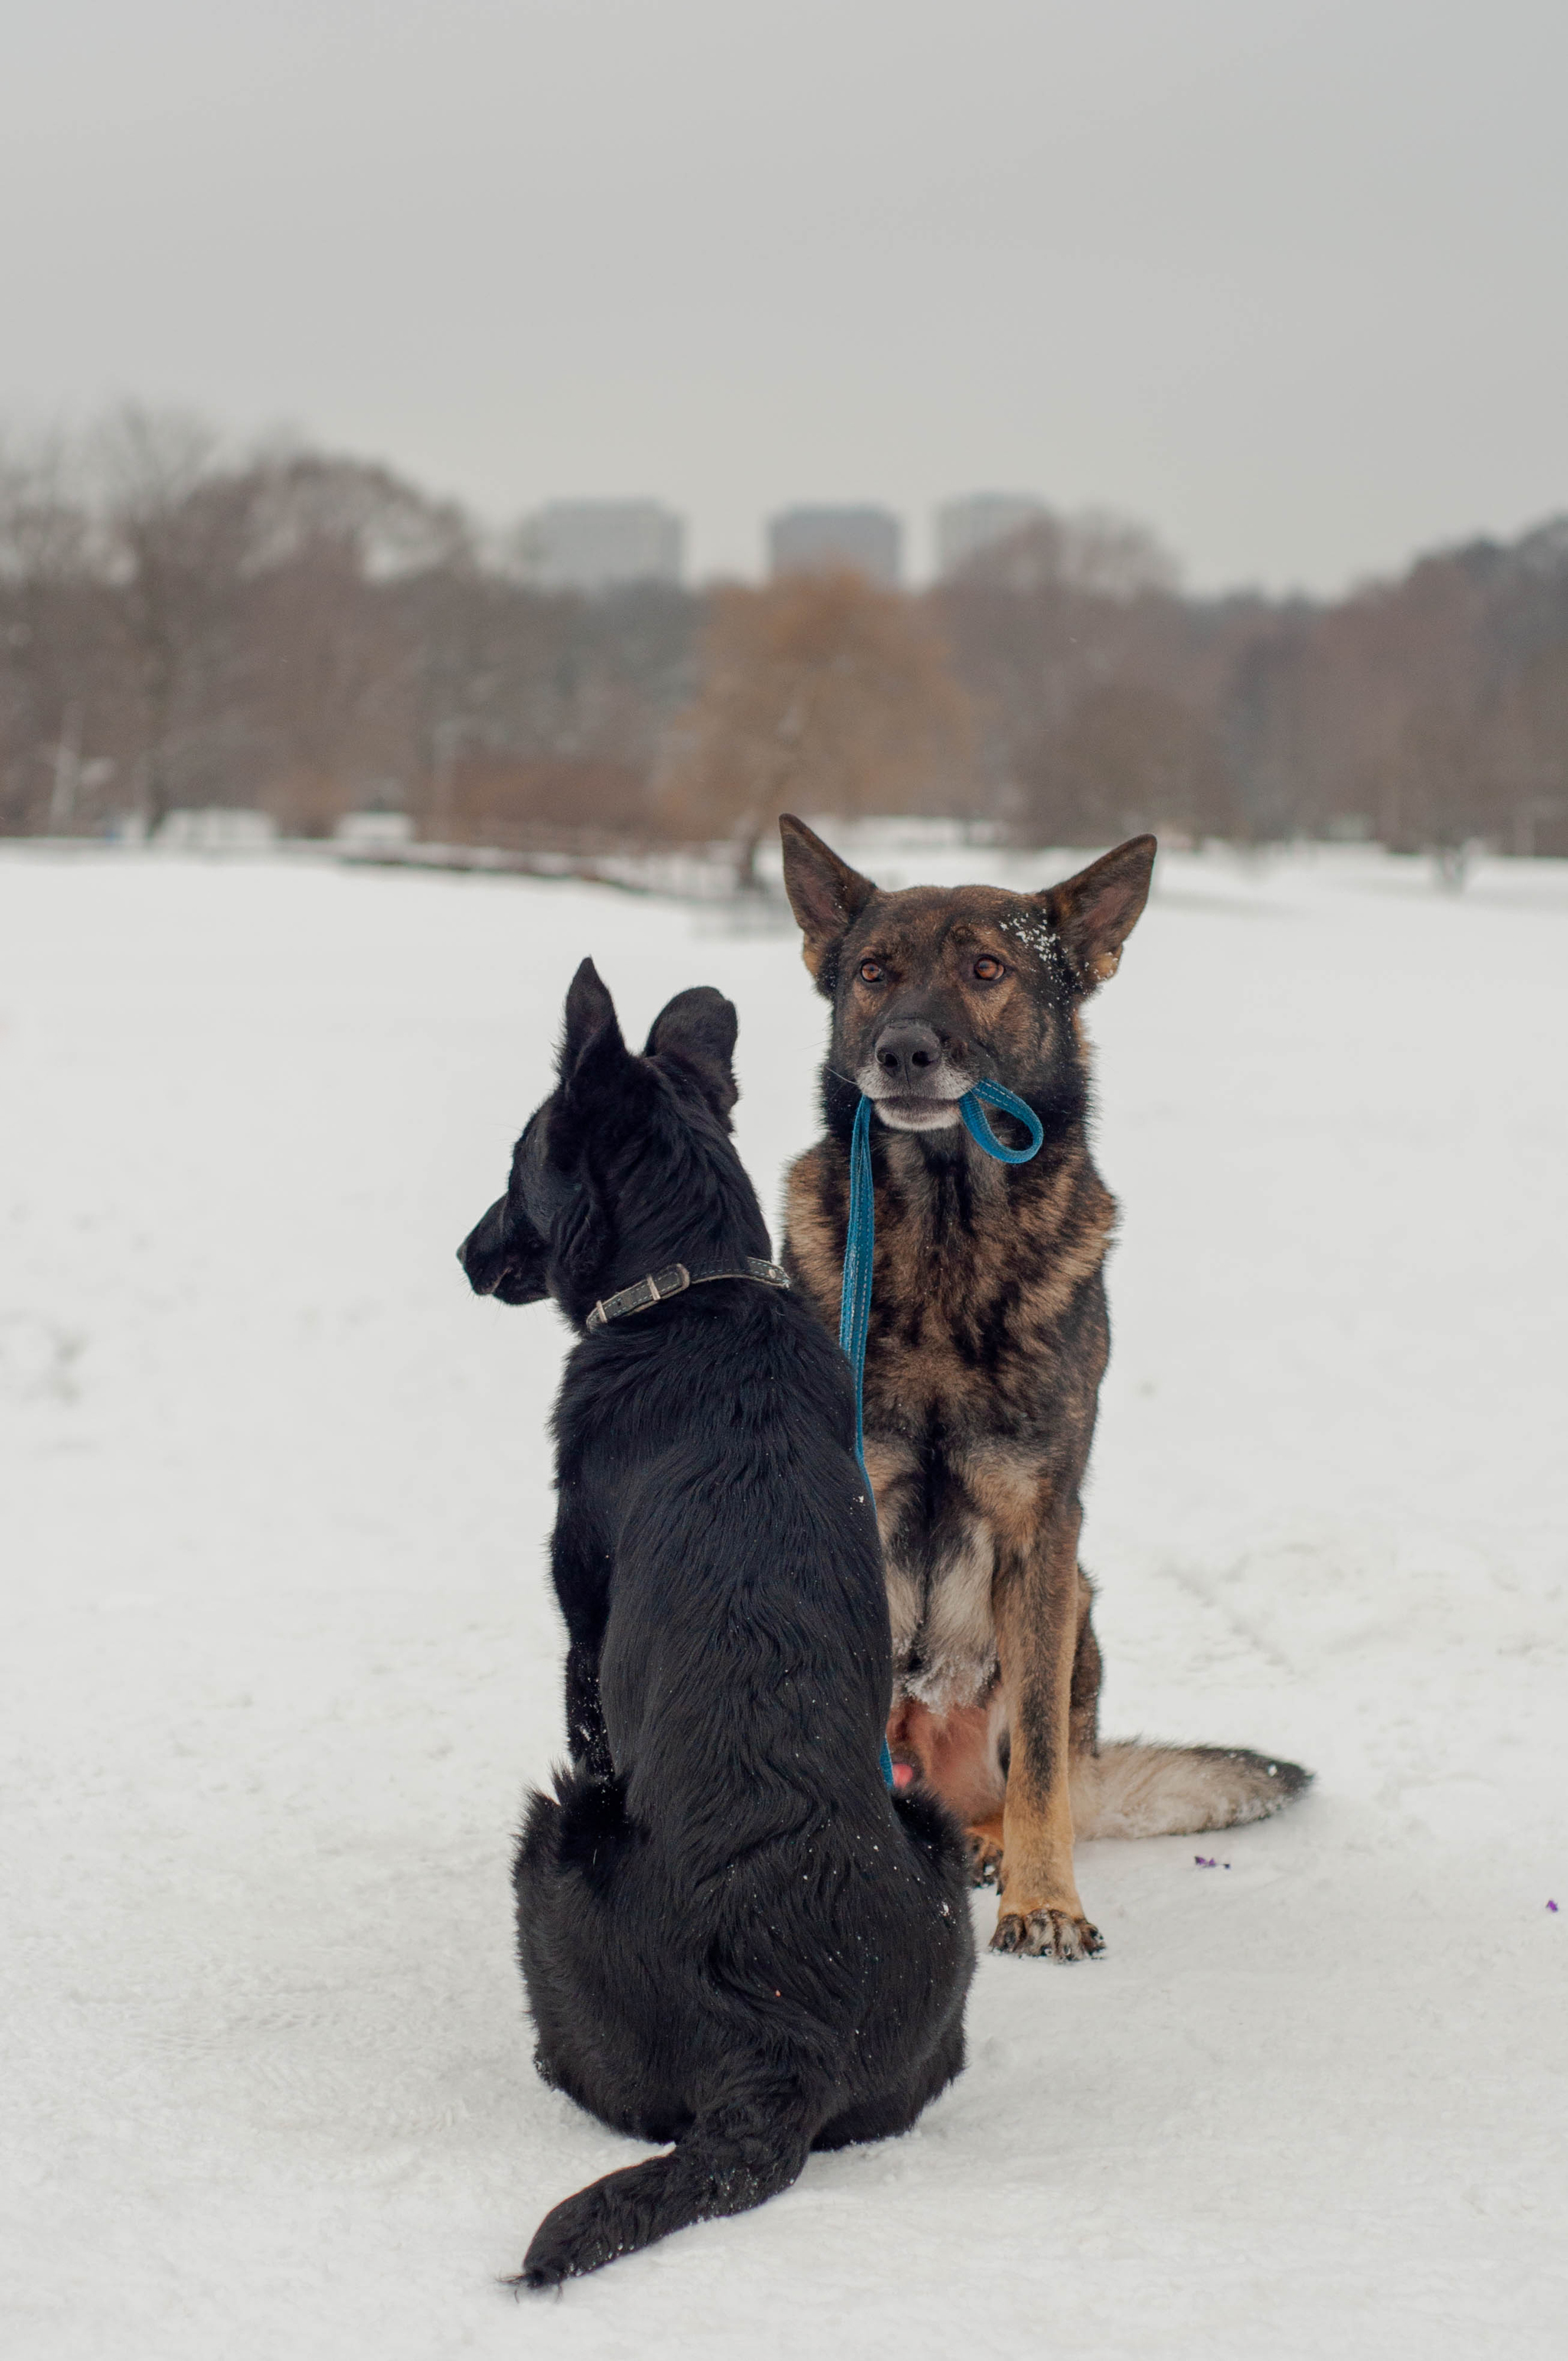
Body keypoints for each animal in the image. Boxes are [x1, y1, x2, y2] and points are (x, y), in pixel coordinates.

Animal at [456, 958, 968, 2285]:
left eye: (520, 1158)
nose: (463, 1253)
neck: (695, 1289)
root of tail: (778, 2055)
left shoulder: (582, 1640)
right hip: (938, 1840)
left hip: (556, 1832)